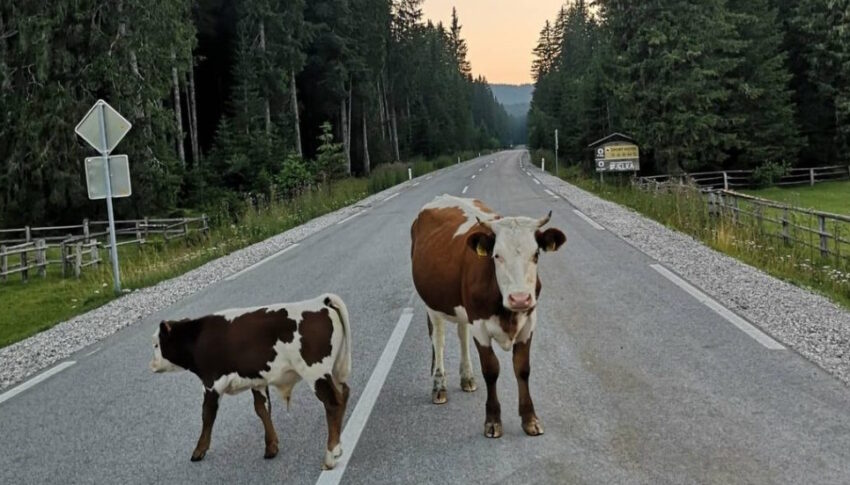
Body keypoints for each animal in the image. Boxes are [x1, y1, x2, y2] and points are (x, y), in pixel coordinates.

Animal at [150, 294, 352, 466]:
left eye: (156, 344)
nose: (151, 364)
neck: (198, 337)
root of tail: (320, 301)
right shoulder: (257, 380)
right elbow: (262, 409)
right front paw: (271, 446)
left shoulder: (211, 384)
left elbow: (207, 415)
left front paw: (199, 450)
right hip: (334, 369)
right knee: (344, 394)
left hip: (315, 372)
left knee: (333, 403)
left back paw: (331, 453)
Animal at [410, 195, 564, 436]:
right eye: (496, 256)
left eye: (536, 254)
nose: (520, 298)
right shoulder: (480, 326)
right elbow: (491, 370)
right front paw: (493, 420)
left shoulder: (528, 323)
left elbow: (523, 369)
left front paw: (530, 419)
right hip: (431, 305)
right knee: (439, 339)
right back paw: (439, 387)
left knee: (462, 335)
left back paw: (467, 378)